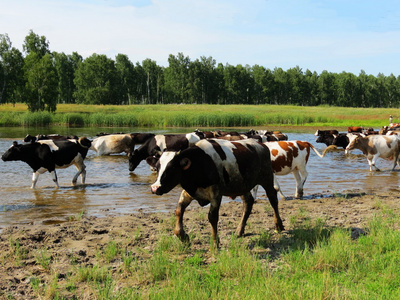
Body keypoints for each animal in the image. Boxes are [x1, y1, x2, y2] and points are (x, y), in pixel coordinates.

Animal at [150, 138, 284, 246]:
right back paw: (239, 230)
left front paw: (215, 244)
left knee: (273, 198)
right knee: (248, 203)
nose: (155, 188)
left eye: (172, 168)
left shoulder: (216, 194)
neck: (201, 162)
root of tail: (261, 145)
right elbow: (179, 210)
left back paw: (279, 225)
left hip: (266, 177)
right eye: (157, 167)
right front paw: (183, 237)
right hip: (241, 185)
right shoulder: (188, 192)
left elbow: (212, 217)